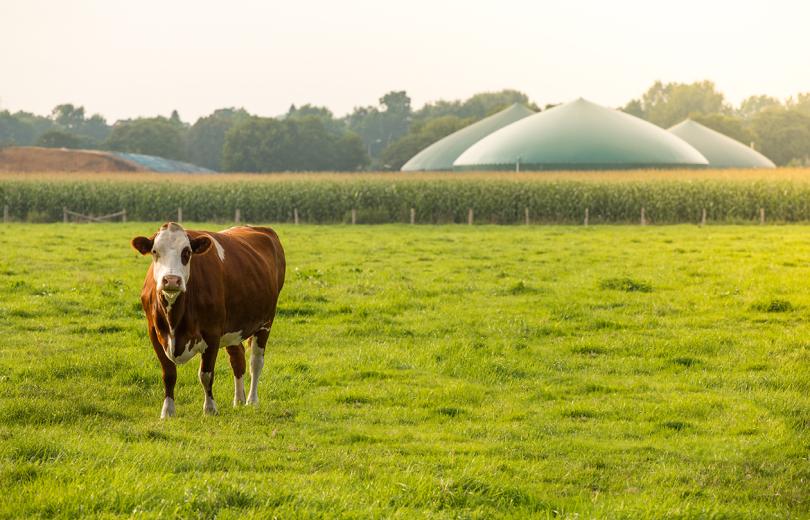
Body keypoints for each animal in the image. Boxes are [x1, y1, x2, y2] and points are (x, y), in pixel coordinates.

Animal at [130, 223, 284, 418]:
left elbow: (206, 374)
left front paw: (210, 409)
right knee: (238, 359)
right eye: (155, 251)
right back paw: (239, 400)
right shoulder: (155, 333)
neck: (175, 318)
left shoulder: (212, 333)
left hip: (266, 322)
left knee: (255, 362)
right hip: (233, 327)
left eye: (187, 252)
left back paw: (251, 400)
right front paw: (167, 411)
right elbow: (169, 374)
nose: (171, 280)